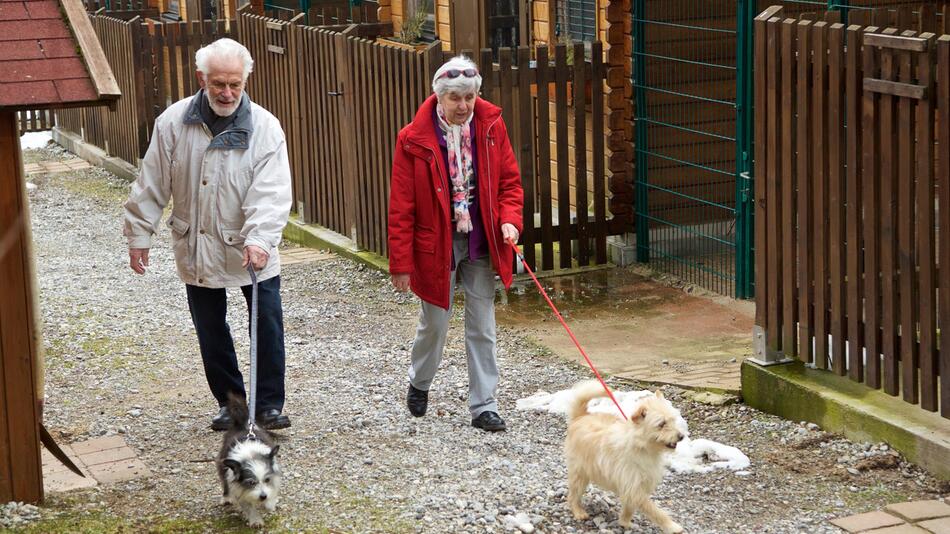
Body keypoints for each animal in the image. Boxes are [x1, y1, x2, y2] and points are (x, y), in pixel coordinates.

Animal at [219, 396, 282, 528]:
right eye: (251, 482)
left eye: (267, 480)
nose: (263, 496)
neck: (251, 455)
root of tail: (242, 424)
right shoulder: (239, 488)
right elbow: (248, 506)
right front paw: (256, 520)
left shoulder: (274, 478)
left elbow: (272, 492)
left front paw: (269, 504)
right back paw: (226, 498)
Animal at [564, 382, 684, 534]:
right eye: (661, 424)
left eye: (673, 420)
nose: (681, 436)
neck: (642, 448)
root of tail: (581, 416)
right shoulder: (634, 488)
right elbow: (655, 510)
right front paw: (672, 526)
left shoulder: (635, 487)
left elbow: (629, 507)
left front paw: (625, 522)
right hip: (579, 474)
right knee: (573, 495)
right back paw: (578, 511)